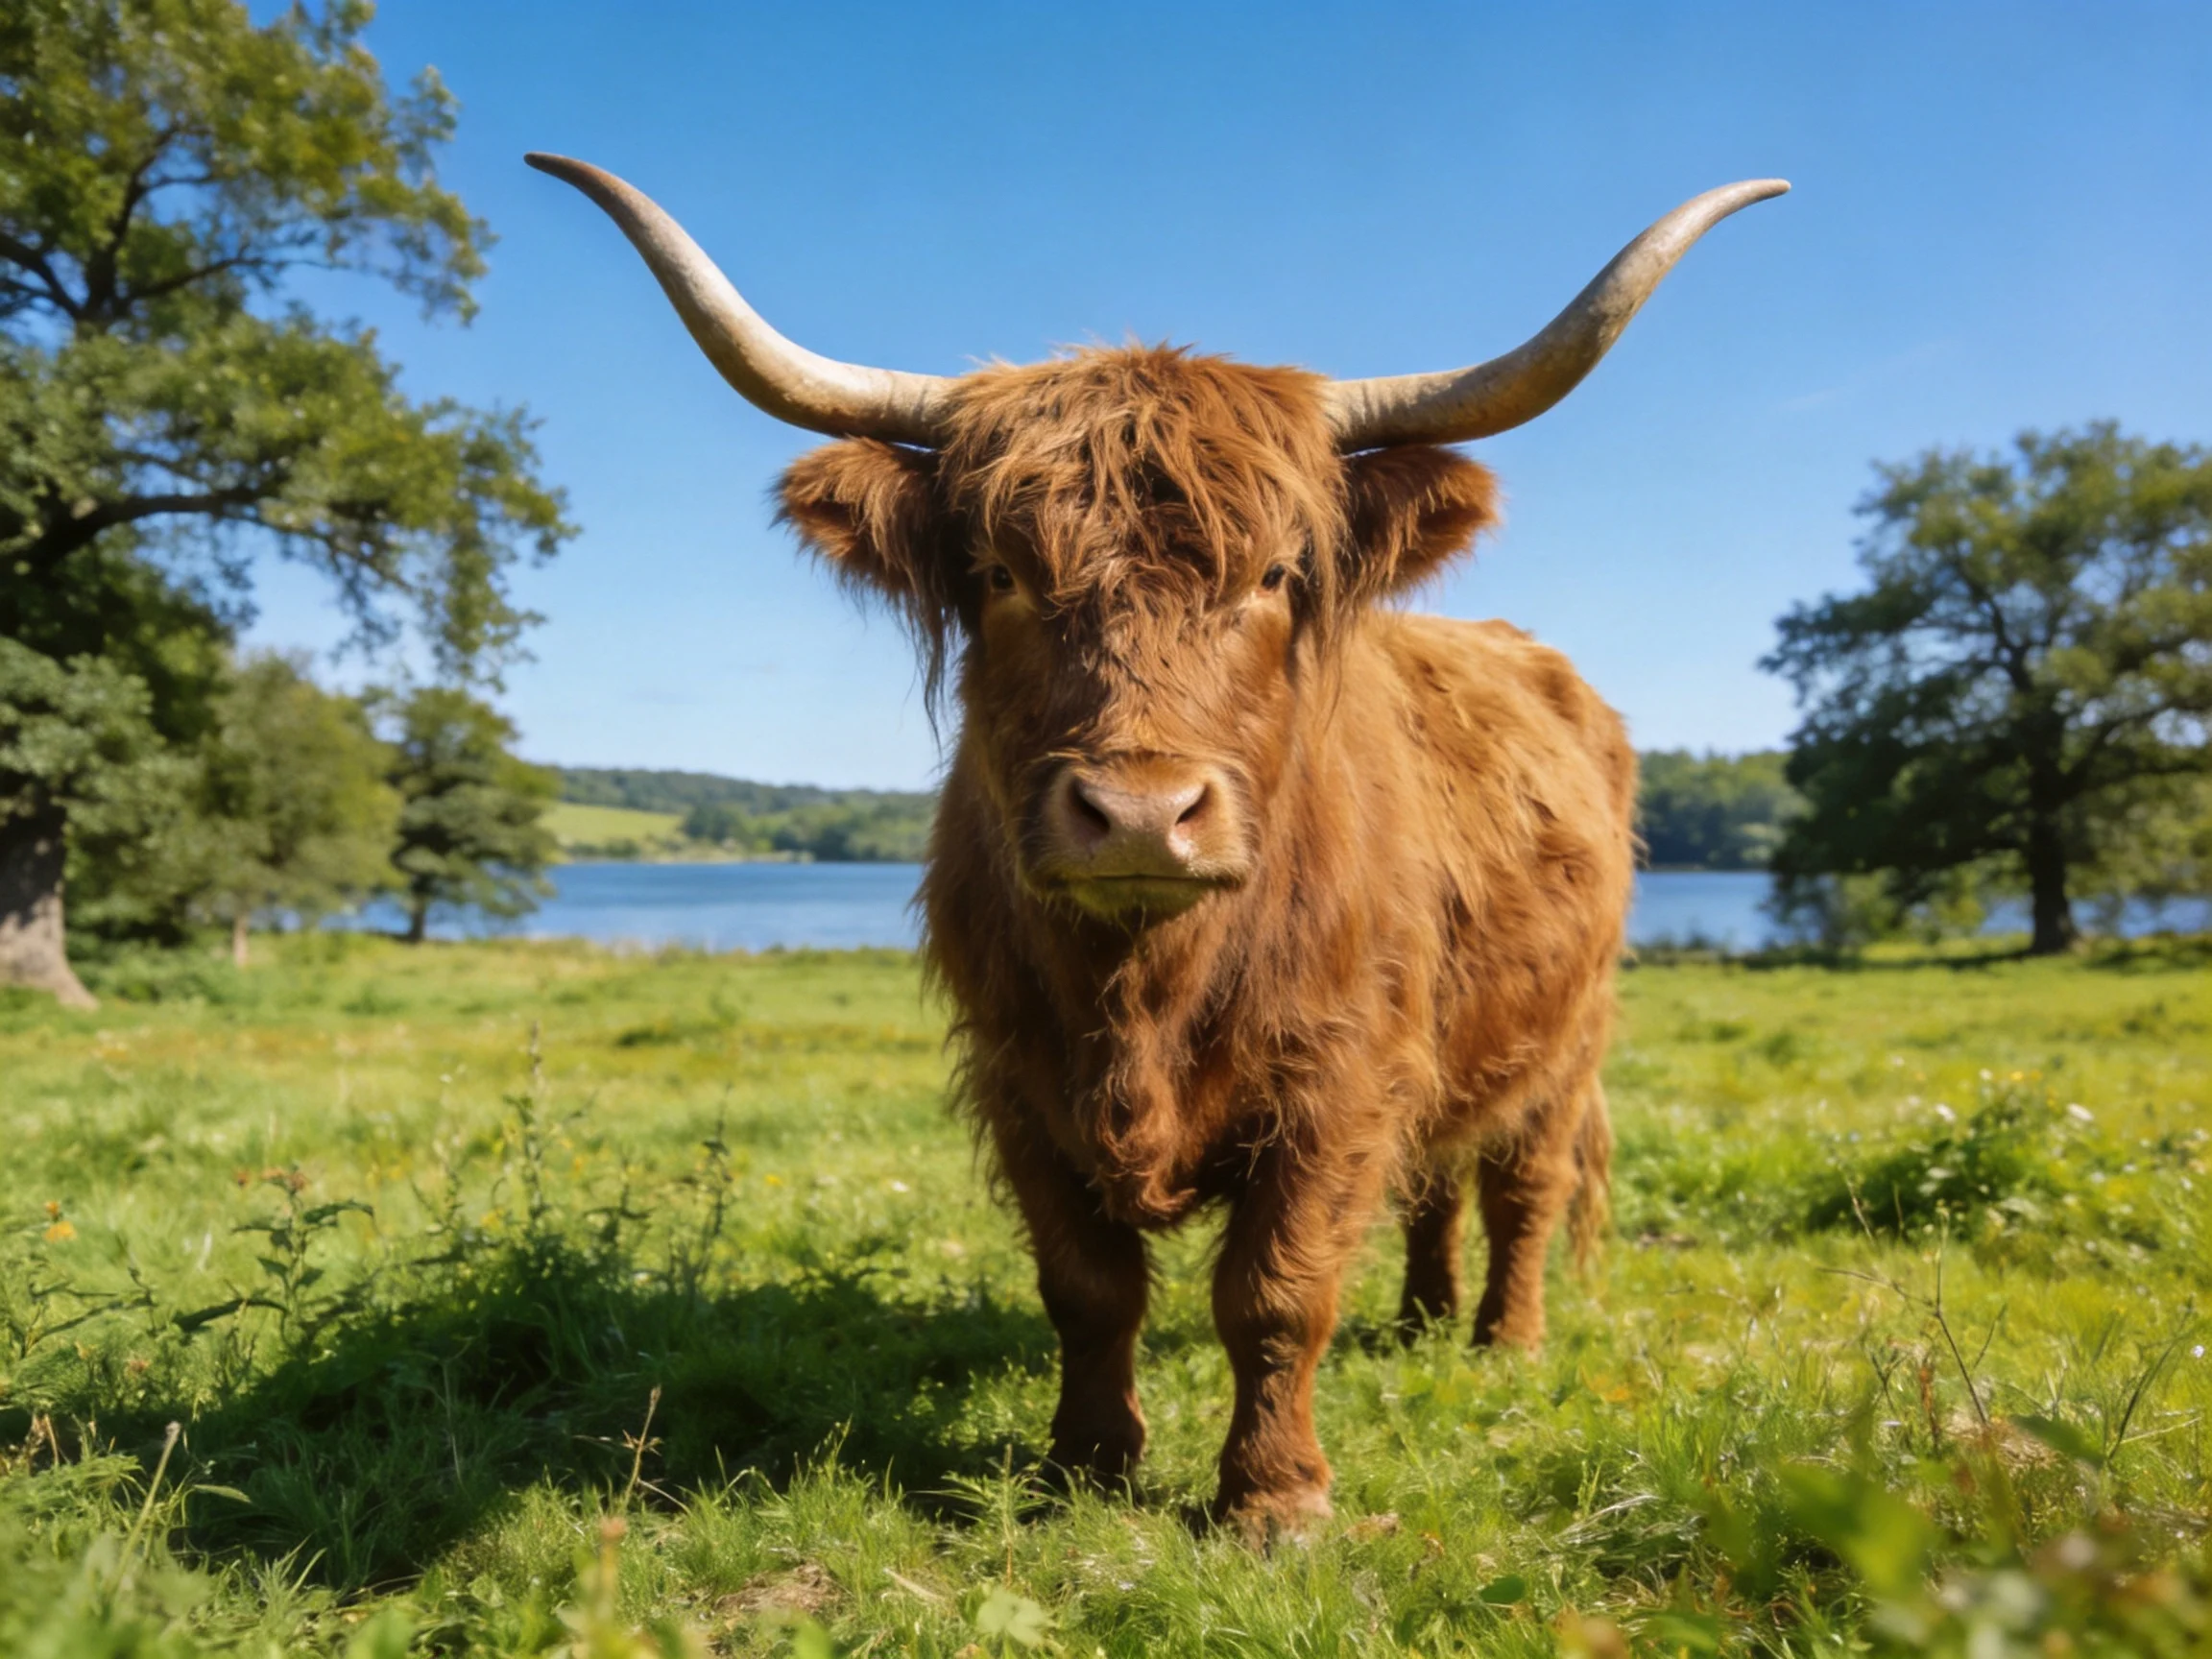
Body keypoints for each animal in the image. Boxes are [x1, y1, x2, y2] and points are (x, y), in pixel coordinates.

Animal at [529, 154, 1785, 1538]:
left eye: (1277, 575)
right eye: (1001, 572)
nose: (1138, 814)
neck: (1145, 987)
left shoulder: (1340, 1073)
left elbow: (1277, 1290)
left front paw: (1276, 1497)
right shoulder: (1021, 1075)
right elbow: (1088, 1286)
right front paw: (1085, 1465)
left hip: (1568, 1033)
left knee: (1523, 1182)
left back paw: (1503, 1343)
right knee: (1435, 1181)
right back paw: (1420, 1319)